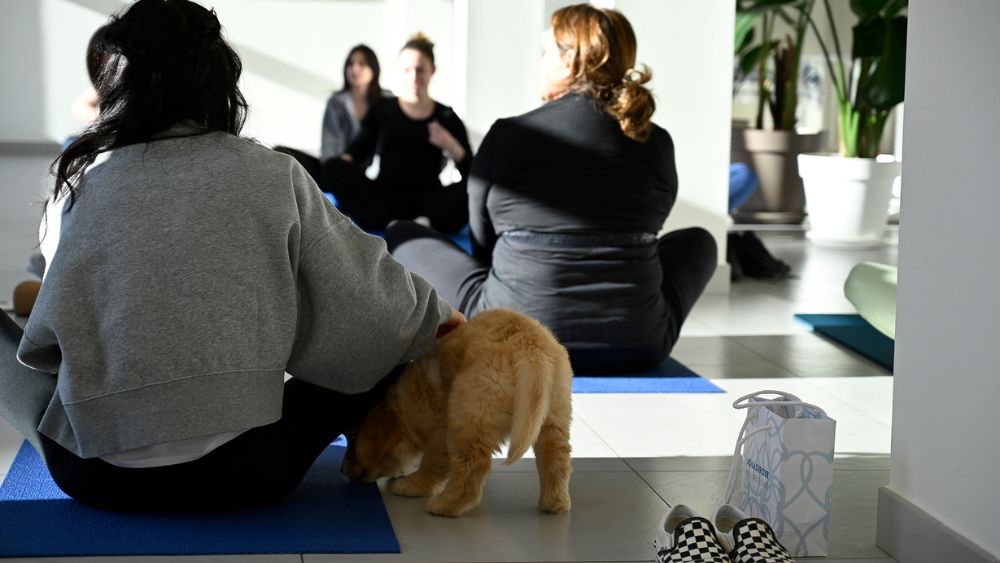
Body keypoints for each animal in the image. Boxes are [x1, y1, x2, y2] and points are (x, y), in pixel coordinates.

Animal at [342, 310, 572, 516]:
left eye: (353, 439)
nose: (342, 470)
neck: (405, 408)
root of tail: (530, 346)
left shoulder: (440, 428)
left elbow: (432, 461)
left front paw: (414, 484)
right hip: (555, 411)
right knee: (556, 457)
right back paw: (555, 503)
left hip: (470, 412)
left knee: (473, 465)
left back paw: (445, 505)